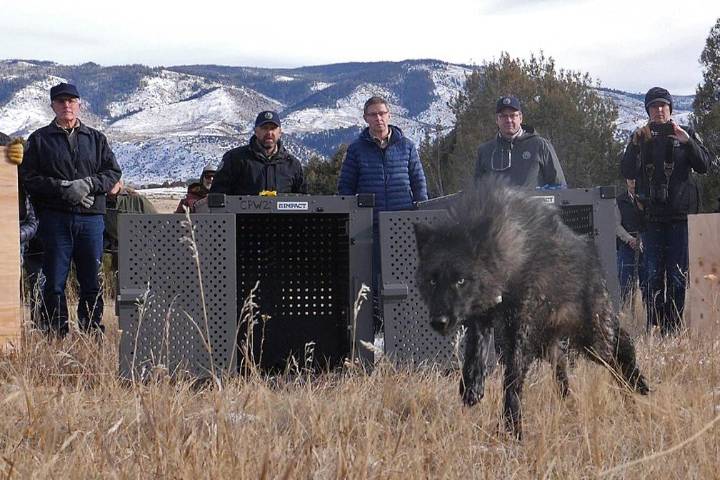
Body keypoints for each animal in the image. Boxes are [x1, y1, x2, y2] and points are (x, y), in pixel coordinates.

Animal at [413, 177, 649, 439]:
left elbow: (512, 379)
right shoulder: (482, 319)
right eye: (432, 281)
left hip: (593, 341)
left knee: (620, 352)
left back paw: (635, 389)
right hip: (553, 346)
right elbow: (475, 353)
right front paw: (472, 386)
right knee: (564, 374)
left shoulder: (520, 330)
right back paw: (572, 406)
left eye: (460, 280)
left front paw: (512, 428)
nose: (439, 321)